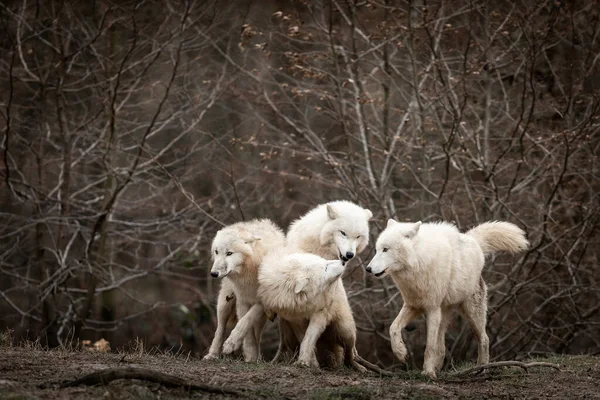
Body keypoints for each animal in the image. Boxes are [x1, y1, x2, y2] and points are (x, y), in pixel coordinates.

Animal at [203, 219, 284, 362]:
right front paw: (248, 353)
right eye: (217, 252)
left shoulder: (262, 301)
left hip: (262, 317)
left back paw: (257, 357)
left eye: (229, 253)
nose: (213, 273)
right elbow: (246, 329)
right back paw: (212, 354)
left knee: (257, 332)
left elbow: (246, 321)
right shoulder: (242, 300)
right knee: (220, 328)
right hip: (225, 304)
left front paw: (234, 345)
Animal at [366, 219, 528, 378]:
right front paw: (401, 352)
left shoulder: (432, 308)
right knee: (442, 346)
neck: (417, 262)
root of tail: (473, 240)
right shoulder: (413, 305)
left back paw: (481, 369)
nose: (368, 269)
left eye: (385, 249)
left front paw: (428, 373)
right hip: (443, 314)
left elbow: (429, 346)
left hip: (471, 313)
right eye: (377, 249)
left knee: (484, 339)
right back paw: (440, 367)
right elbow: (393, 327)